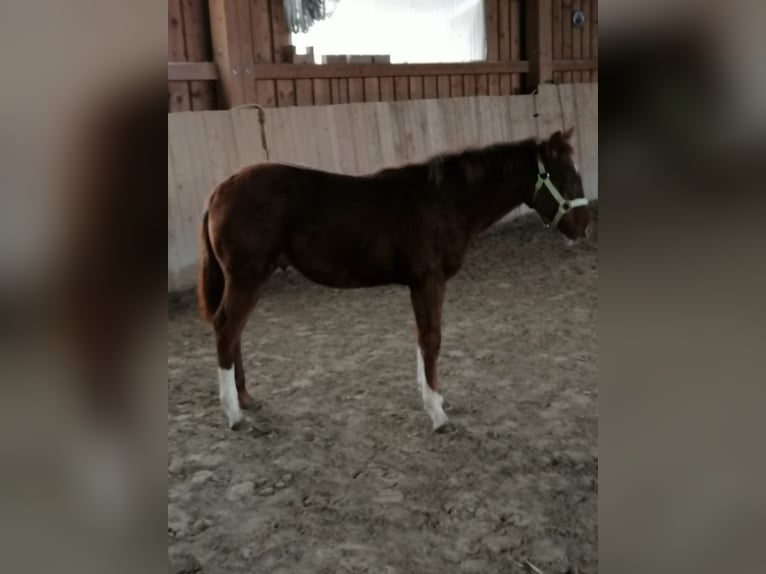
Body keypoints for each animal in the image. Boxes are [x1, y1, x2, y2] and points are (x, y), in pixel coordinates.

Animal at [198, 127, 592, 432]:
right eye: (569, 177)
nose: (585, 228)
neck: (445, 201)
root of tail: (219, 190)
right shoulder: (429, 280)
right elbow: (431, 339)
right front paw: (437, 413)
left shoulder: (421, 284)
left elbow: (422, 337)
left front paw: (433, 397)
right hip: (247, 277)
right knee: (227, 329)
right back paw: (234, 414)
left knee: (234, 332)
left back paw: (246, 399)